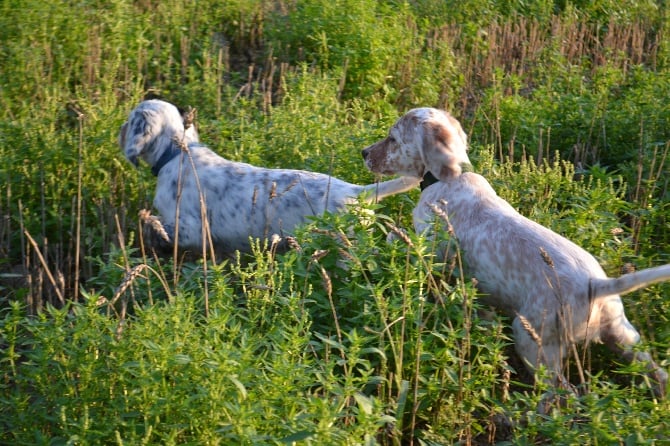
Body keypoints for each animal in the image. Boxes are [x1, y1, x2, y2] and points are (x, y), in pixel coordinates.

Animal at [118, 99, 418, 256]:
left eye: (130, 119)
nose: (119, 129)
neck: (178, 151)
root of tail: (357, 192)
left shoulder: (190, 228)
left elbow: (159, 226)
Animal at [364, 107, 670, 398]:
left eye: (393, 139)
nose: (364, 152)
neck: (448, 177)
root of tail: (596, 286)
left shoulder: (428, 252)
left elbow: (396, 239)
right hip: (624, 336)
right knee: (657, 374)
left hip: (533, 341)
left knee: (561, 394)